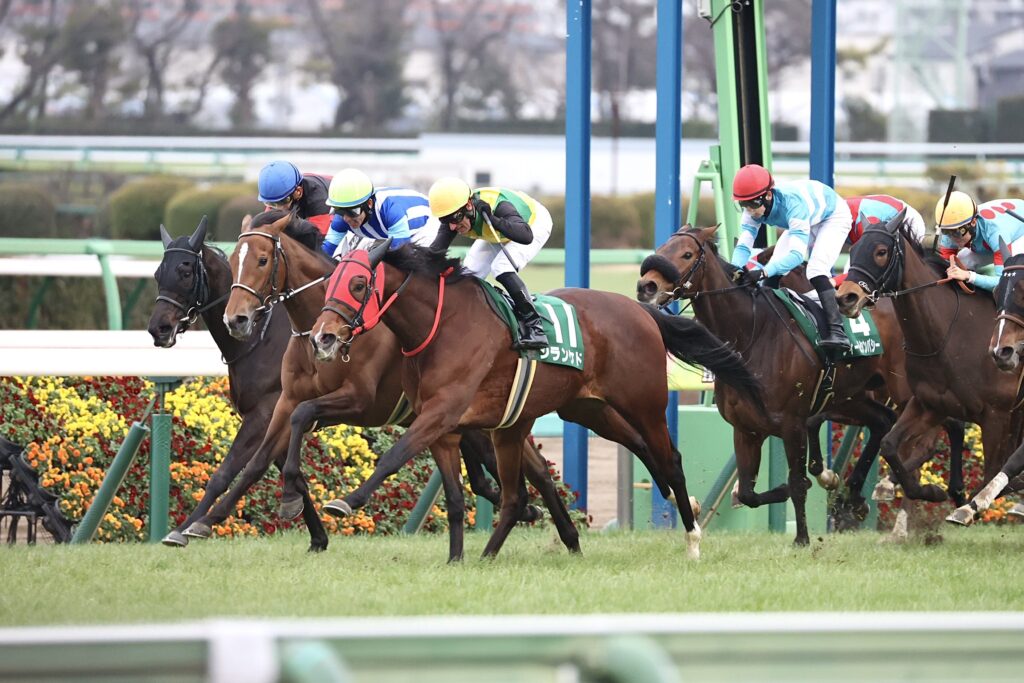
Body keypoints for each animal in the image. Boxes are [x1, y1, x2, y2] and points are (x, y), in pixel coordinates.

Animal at [147, 216, 329, 552]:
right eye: (157, 273)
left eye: (186, 271)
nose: (158, 329)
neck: (260, 337)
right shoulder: (275, 417)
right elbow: (290, 472)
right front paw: (317, 535)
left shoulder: (263, 415)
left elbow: (226, 471)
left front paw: (185, 528)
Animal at [211, 211, 546, 562]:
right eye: (233, 261)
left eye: (262, 260)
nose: (236, 319)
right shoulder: (286, 399)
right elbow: (260, 458)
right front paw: (204, 521)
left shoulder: (359, 401)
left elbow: (302, 415)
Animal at [307, 239, 763, 560]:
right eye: (329, 284)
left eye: (359, 284)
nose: (322, 338)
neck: (442, 327)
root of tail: (642, 312)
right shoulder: (445, 428)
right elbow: (455, 498)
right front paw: (455, 560)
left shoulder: (441, 414)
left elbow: (392, 456)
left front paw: (346, 502)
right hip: (586, 410)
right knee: (622, 452)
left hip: (644, 404)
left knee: (670, 458)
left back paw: (692, 537)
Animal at [634, 224, 932, 545]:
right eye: (662, 248)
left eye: (687, 254)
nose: (646, 286)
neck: (751, 334)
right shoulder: (746, 430)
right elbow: (750, 494)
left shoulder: (792, 424)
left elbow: (798, 483)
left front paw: (802, 538)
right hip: (850, 397)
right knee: (882, 420)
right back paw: (856, 495)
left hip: (904, 392)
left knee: (919, 440)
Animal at [837, 211, 1024, 528]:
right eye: (854, 250)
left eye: (881, 251)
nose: (846, 297)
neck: (949, 336)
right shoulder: (929, 404)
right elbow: (890, 445)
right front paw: (928, 491)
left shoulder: (996, 416)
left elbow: (993, 471)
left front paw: (967, 505)